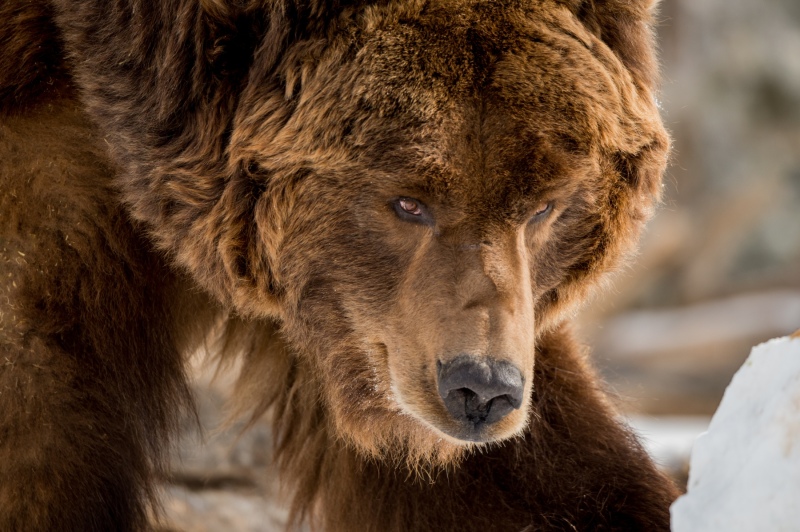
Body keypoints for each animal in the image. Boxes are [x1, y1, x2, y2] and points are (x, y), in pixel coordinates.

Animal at [1, 0, 680, 528]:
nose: (482, 389)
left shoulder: (372, 330)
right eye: (408, 200)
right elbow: (40, 423)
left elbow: (541, 482)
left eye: (543, 205)